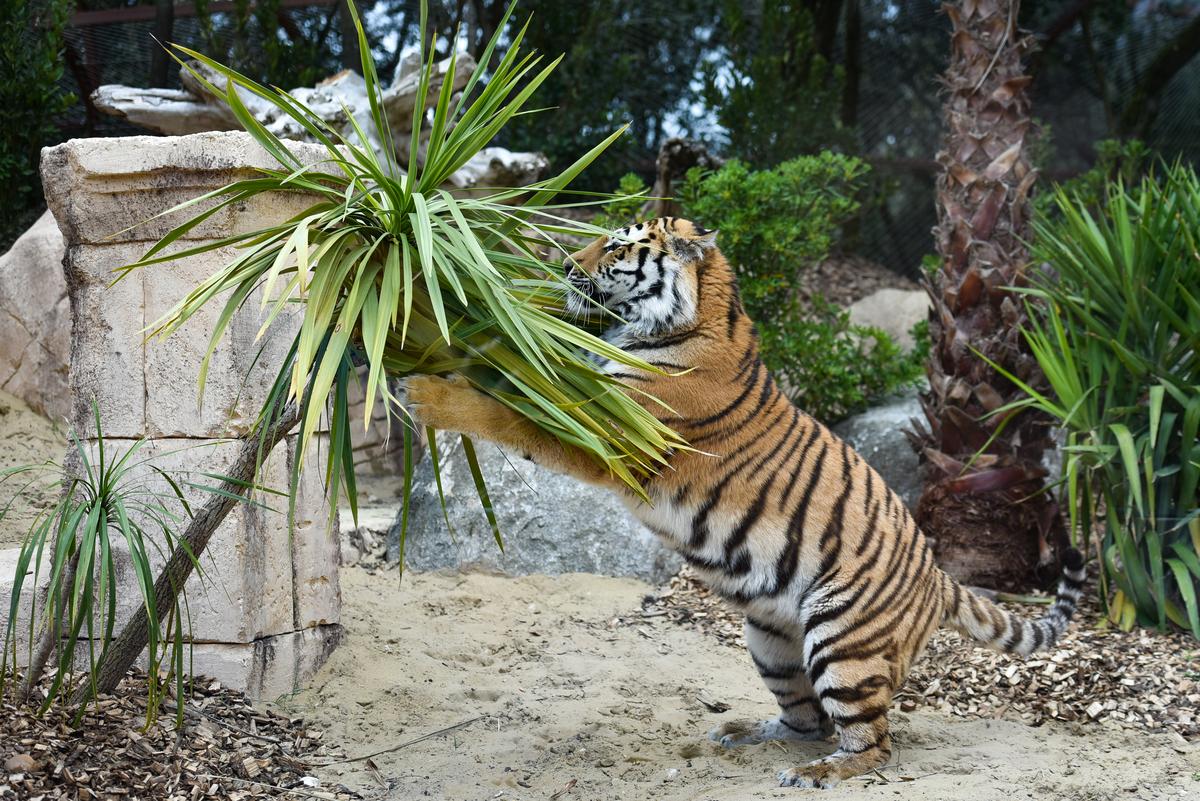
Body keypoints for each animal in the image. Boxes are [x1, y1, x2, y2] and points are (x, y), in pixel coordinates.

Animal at [405, 216, 1086, 789]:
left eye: (617, 247)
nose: (564, 265)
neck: (694, 318)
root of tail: (938, 576)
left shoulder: (610, 431)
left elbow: (510, 414)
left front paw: (429, 391)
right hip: (769, 640)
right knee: (806, 719)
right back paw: (743, 733)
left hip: (843, 639)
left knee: (872, 742)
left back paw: (819, 774)